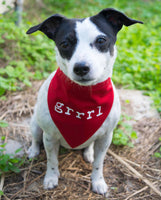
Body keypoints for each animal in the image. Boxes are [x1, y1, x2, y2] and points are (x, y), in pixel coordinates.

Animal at [26, 8, 143, 195]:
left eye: (101, 40)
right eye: (65, 44)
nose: (81, 68)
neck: (84, 97)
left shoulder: (106, 138)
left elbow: (99, 164)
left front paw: (98, 181)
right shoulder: (50, 137)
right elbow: (52, 161)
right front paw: (51, 177)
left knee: (89, 146)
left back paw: (88, 153)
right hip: (36, 125)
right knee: (36, 139)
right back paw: (33, 151)